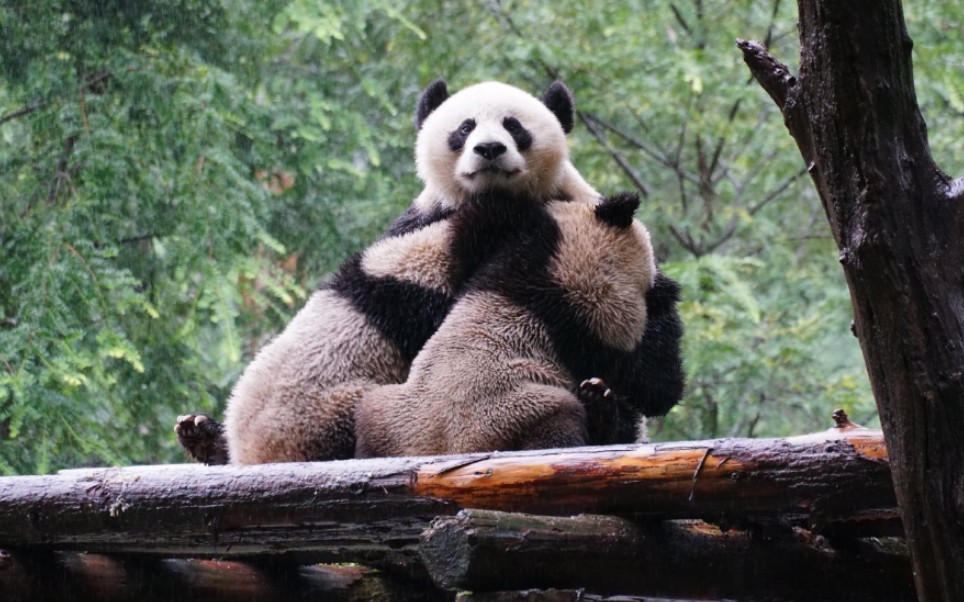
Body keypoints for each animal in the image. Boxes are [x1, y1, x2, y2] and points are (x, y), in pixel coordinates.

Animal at [354, 191, 676, 454]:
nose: (663, 282)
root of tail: (441, 447)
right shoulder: (604, 322)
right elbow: (651, 383)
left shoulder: (521, 255)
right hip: (515, 413)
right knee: (557, 424)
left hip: (388, 414)